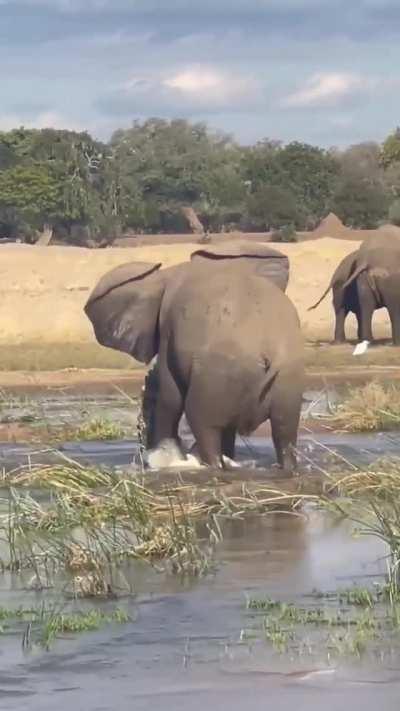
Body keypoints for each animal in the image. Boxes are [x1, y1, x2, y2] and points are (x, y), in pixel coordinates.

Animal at [84, 241, 304, 473]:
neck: (166, 275)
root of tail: (269, 355)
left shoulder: (168, 327)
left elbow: (170, 397)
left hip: (218, 378)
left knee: (203, 423)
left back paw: (212, 465)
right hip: (286, 381)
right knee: (284, 432)